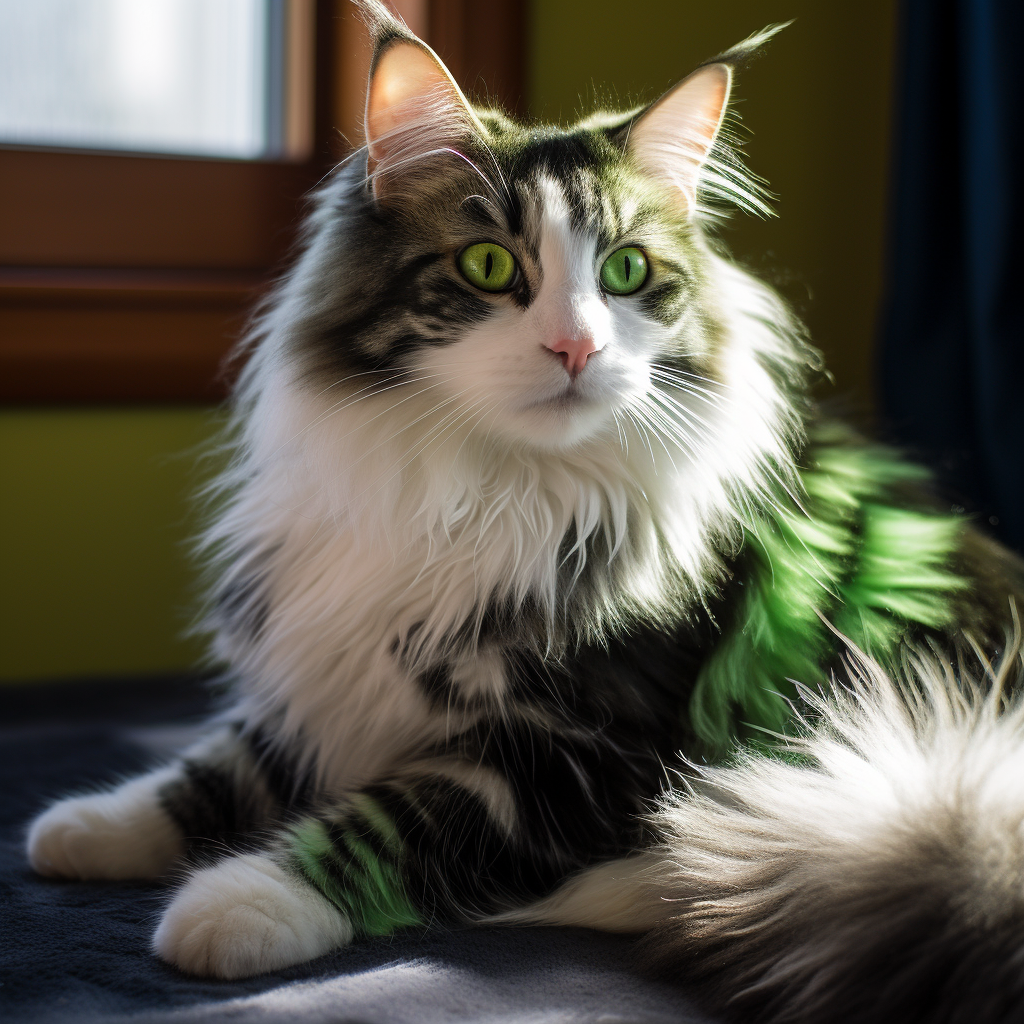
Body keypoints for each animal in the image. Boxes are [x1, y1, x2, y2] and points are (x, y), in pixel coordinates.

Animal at [24, 4, 1024, 1019]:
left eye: (627, 272)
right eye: (489, 263)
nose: (576, 347)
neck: (485, 489)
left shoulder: (566, 760)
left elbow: (388, 823)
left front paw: (238, 904)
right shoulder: (331, 665)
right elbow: (224, 763)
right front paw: (88, 827)